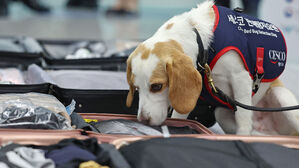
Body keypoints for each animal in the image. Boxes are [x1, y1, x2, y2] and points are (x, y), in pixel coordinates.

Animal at [125, 0, 299, 135]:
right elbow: (179, 116)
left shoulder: (241, 78)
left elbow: (243, 118)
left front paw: (243, 136)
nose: (143, 120)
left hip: (283, 100)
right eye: (136, 88)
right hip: (222, 113)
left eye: (157, 86)